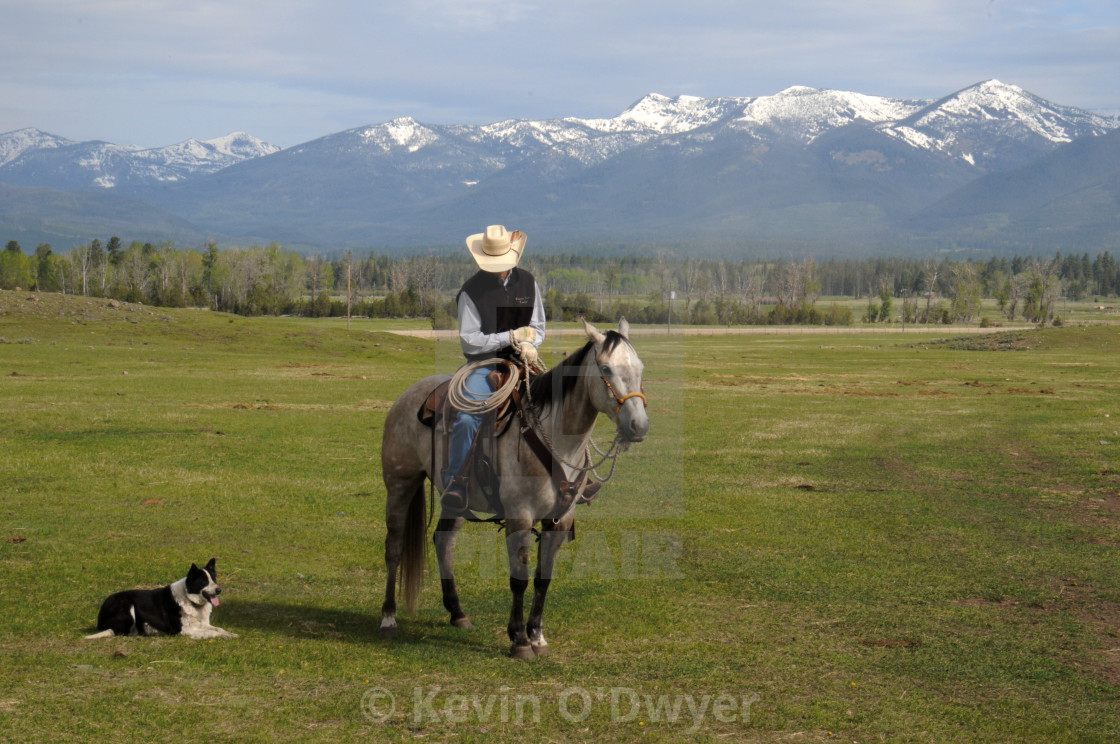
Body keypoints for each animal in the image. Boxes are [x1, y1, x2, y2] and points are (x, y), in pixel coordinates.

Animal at [85, 558, 238, 640]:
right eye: (204, 582)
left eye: (213, 579)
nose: (219, 590)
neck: (190, 600)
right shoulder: (184, 630)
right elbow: (211, 632)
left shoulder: (203, 624)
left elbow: (219, 629)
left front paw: (230, 634)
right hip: (127, 605)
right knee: (123, 632)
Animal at [380, 320, 654, 658]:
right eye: (606, 368)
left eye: (639, 368)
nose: (638, 426)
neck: (554, 435)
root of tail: (407, 397)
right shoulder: (520, 516)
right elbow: (519, 579)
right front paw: (520, 640)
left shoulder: (559, 521)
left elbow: (542, 578)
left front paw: (537, 636)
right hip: (400, 483)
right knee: (394, 547)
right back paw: (388, 618)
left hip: (455, 501)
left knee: (443, 542)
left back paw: (457, 613)